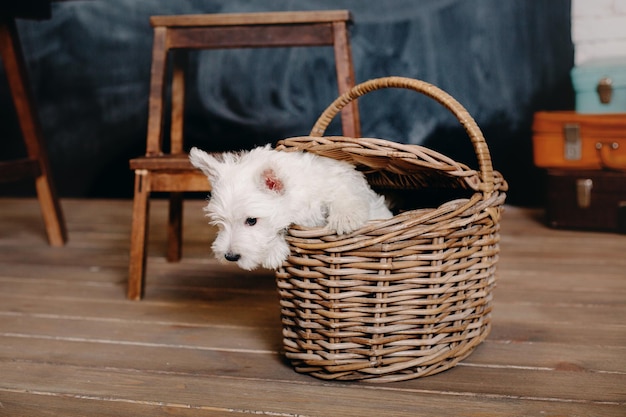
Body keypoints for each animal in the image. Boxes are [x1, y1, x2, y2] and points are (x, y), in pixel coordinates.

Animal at [188, 145, 390, 270]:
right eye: (220, 222)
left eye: (251, 220)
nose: (230, 257)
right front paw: (274, 252)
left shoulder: (340, 185)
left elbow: (344, 197)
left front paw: (345, 219)